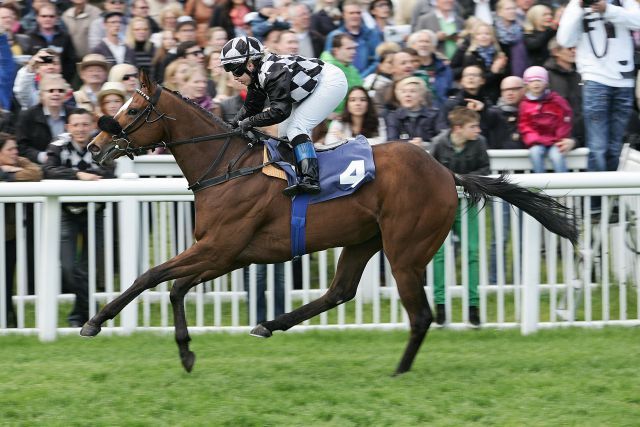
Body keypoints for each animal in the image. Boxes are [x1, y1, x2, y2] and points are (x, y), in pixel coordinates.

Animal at [82, 72, 576, 376]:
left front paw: (96, 321)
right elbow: (175, 286)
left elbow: (152, 276)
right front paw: (185, 352)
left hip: (405, 251)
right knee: (340, 291)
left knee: (420, 315)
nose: (94, 146)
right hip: (363, 240)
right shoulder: (228, 253)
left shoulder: (220, 247)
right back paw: (269, 324)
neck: (226, 167)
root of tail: (445, 171)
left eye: (132, 111)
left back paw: (400, 370)